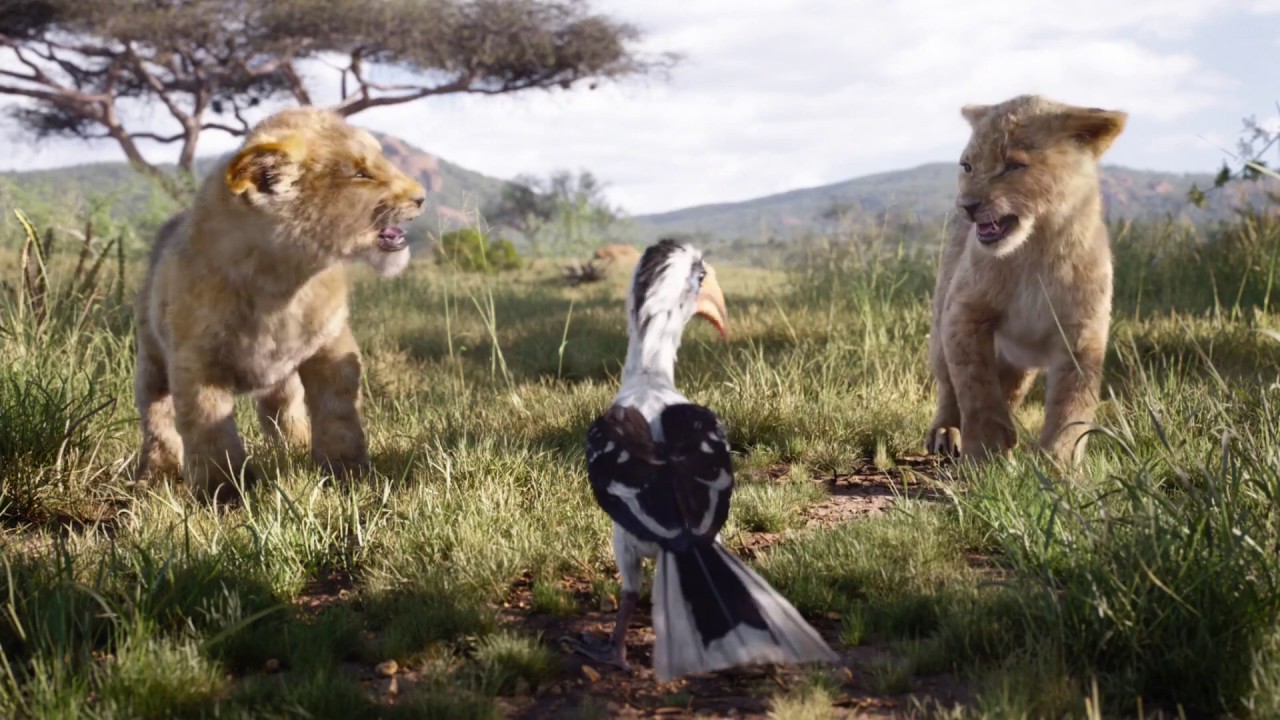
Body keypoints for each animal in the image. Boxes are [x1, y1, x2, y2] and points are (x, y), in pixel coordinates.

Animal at [134, 107, 426, 500]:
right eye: (361, 173)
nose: (421, 197)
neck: (279, 283)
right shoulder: (195, 362)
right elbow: (208, 429)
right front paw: (223, 492)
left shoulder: (332, 345)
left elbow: (338, 415)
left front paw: (348, 475)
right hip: (151, 360)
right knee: (157, 415)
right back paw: (157, 471)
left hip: (281, 377)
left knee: (282, 410)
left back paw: (296, 447)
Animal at [925, 94, 1127, 467]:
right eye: (967, 166)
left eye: (1013, 166)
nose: (967, 206)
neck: (1036, 248)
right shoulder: (963, 314)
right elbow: (975, 389)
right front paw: (985, 455)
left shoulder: (1081, 335)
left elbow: (1072, 406)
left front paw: (1059, 467)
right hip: (941, 324)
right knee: (948, 387)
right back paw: (947, 432)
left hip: (1018, 363)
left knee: (1010, 390)